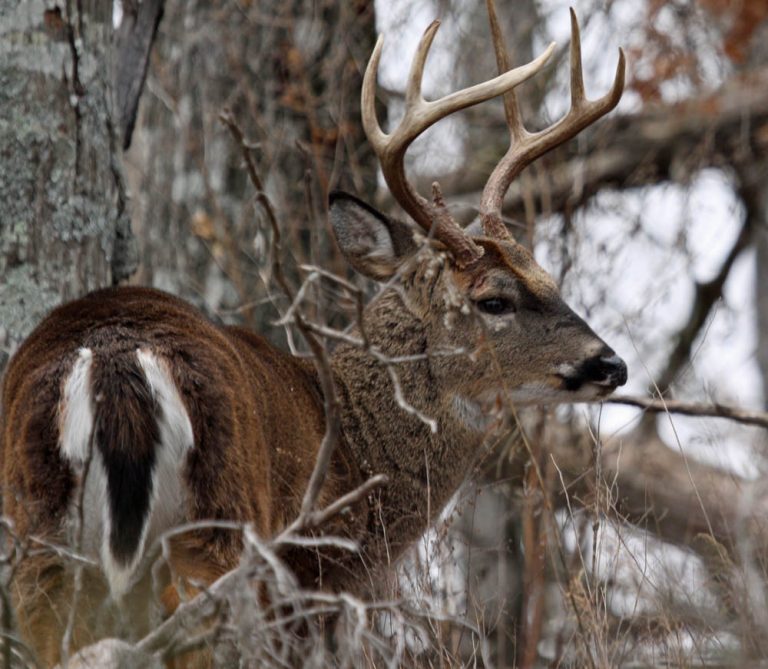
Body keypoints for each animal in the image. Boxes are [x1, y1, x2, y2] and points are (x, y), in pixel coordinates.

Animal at [0, 5, 626, 667]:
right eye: (493, 300)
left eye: (550, 277)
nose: (611, 364)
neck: (360, 445)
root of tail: (117, 360)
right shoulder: (315, 580)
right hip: (220, 530)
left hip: (39, 534)